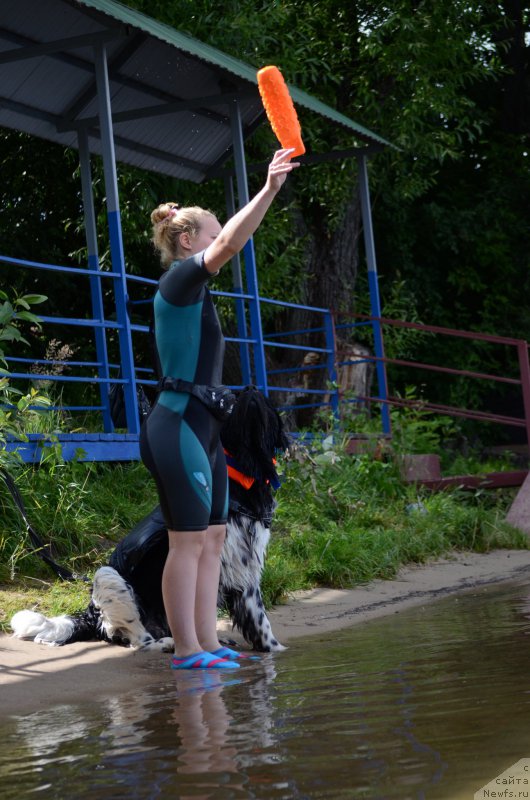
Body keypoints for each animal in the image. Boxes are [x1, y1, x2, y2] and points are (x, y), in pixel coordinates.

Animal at [9, 384, 288, 652]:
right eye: (233, 400)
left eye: (265, 399)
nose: (250, 388)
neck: (245, 475)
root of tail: (91, 616)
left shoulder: (246, 568)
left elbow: (261, 624)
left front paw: (276, 651)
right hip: (109, 575)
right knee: (135, 638)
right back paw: (165, 643)